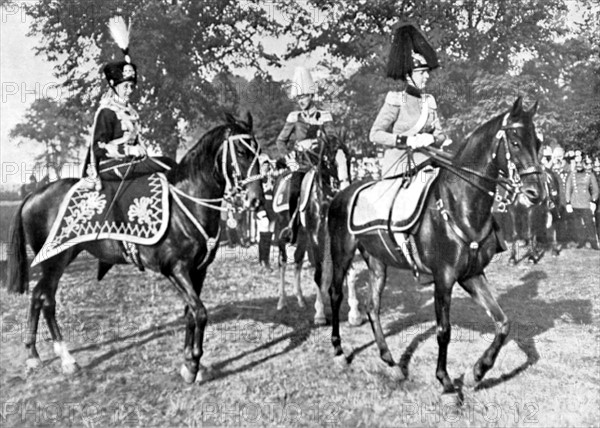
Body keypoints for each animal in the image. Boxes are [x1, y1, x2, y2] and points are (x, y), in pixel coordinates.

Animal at [4, 112, 262, 382]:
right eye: (241, 152)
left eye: (258, 150)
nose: (256, 199)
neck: (186, 203)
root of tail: (34, 194)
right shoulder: (175, 269)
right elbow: (200, 312)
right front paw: (192, 366)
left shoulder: (198, 270)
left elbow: (190, 313)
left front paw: (189, 364)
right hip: (54, 261)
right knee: (46, 300)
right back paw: (66, 359)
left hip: (60, 259)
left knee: (38, 297)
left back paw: (33, 355)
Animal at [272, 133, 360, 324]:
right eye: (330, 159)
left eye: (349, 159)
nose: (346, 188)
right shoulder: (316, 236)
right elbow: (319, 273)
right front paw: (319, 313)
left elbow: (349, 272)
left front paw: (355, 313)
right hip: (282, 232)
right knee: (283, 262)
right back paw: (282, 301)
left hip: (302, 237)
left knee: (297, 261)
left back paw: (300, 299)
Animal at [326, 98, 548, 400]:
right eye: (514, 141)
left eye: (538, 142)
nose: (537, 193)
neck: (460, 204)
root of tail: (341, 194)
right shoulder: (443, 278)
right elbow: (444, 330)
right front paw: (446, 382)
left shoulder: (471, 275)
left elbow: (503, 323)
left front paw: (477, 372)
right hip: (341, 254)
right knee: (335, 294)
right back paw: (338, 350)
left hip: (377, 262)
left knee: (373, 306)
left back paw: (390, 361)